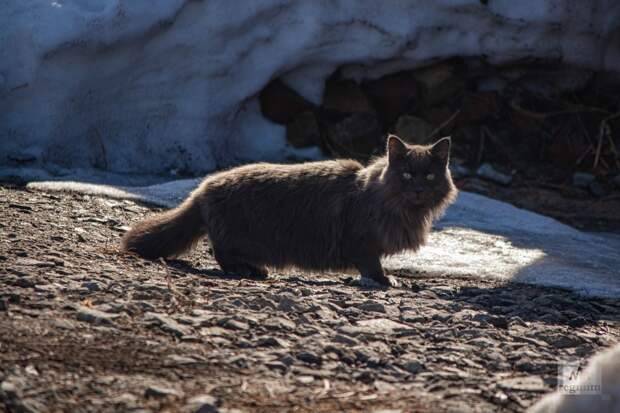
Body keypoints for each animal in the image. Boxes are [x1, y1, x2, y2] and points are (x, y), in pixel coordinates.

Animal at [122, 134, 460, 284]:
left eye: (429, 176)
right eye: (407, 175)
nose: (418, 189)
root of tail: (203, 187)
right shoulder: (361, 242)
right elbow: (371, 266)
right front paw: (384, 280)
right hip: (241, 234)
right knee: (221, 254)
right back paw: (250, 271)